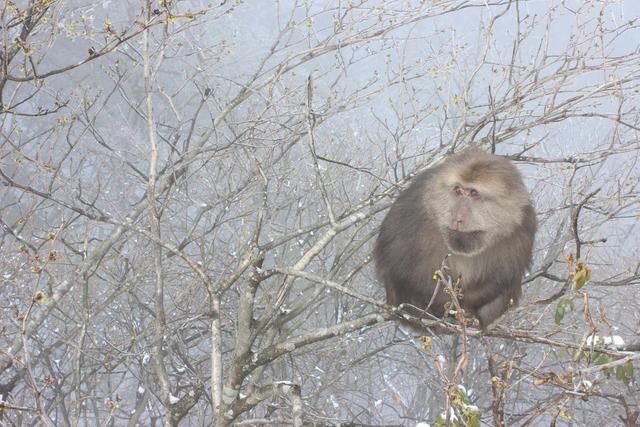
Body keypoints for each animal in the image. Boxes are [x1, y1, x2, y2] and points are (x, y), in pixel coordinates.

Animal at [372, 149, 536, 330]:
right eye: (457, 190)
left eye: (474, 194)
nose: (457, 218)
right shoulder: (415, 211)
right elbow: (403, 268)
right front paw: (451, 307)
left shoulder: (523, 227)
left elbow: (503, 277)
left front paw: (469, 311)